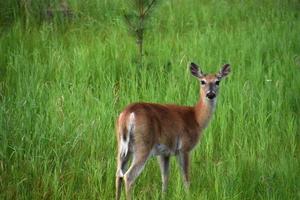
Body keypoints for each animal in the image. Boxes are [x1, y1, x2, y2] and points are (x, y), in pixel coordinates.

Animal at [116, 61, 231, 199]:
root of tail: (129, 113)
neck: (196, 118)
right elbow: (186, 177)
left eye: (217, 81)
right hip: (143, 145)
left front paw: (164, 195)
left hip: (122, 147)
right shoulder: (184, 147)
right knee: (128, 176)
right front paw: (188, 195)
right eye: (202, 81)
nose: (210, 94)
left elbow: (165, 177)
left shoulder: (164, 152)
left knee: (118, 174)